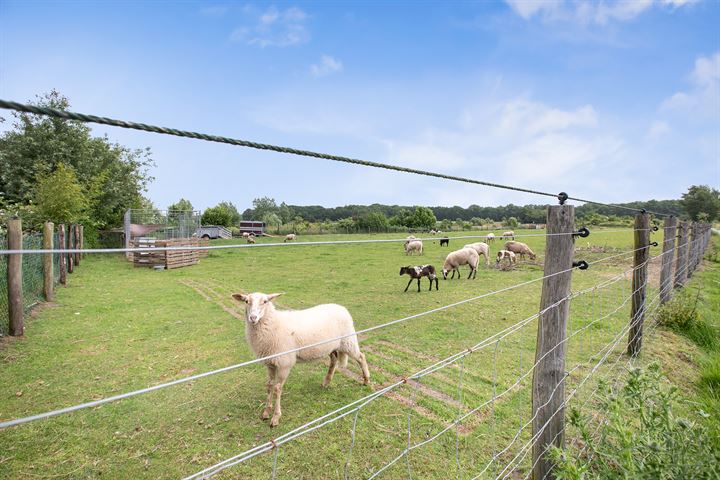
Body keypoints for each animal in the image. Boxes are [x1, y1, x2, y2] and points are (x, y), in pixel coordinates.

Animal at [233, 292, 372, 428]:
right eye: (246, 301)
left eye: (265, 301)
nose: (253, 318)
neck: (274, 323)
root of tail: (341, 307)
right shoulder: (271, 363)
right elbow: (269, 385)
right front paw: (266, 412)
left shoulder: (284, 363)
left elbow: (277, 389)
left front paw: (276, 417)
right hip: (332, 346)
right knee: (334, 360)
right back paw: (326, 382)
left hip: (348, 341)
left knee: (361, 357)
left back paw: (366, 380)